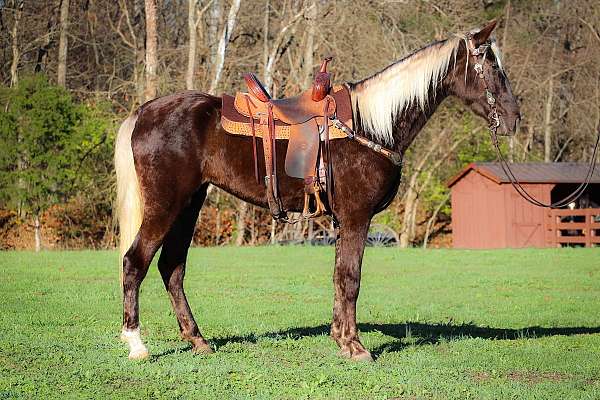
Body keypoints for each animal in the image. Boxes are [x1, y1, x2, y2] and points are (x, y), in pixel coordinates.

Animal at [116, 20, 520, 360]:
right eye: (492, 66)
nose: (514, 119)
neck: (372, 125)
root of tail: (144, 112)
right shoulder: (357, 218)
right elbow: (351, 278)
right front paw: (356, 346)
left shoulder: (345, 222)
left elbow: (339, 277)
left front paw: (341, 338)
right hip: (166, 205)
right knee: (135, 262)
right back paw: (137, 344)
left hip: (189, 204)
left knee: (171, 267)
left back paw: (198, 340)